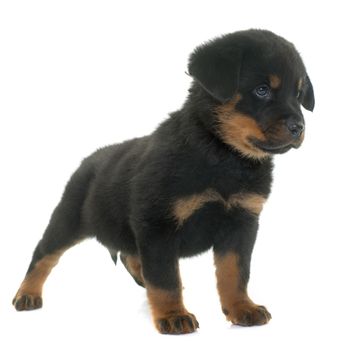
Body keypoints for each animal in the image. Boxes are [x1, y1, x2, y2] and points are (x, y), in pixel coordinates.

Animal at [13, 29, 314, 334]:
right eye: (262, 90)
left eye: (299, 94)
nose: (299, 127)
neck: (223, 156)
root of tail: (89, 160)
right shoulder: (158, 225)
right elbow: (166, 279)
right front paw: (172, 315)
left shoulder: (241, 223)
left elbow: (235, 273)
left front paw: (242, 308)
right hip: (68, 218)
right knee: (43, 254)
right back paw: (27, 294)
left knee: (129, 254)